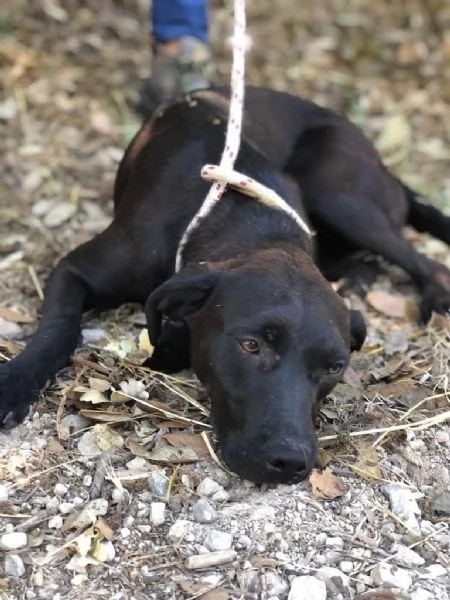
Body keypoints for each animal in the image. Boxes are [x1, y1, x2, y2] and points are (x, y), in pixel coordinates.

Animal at [0, 86, 450, 486]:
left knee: (422, 261)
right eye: (250, 345)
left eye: (334, 367)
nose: (290, 462)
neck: (249, 223)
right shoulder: (74, 269)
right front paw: (15, 382)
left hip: (339, 195)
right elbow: (57, 329)